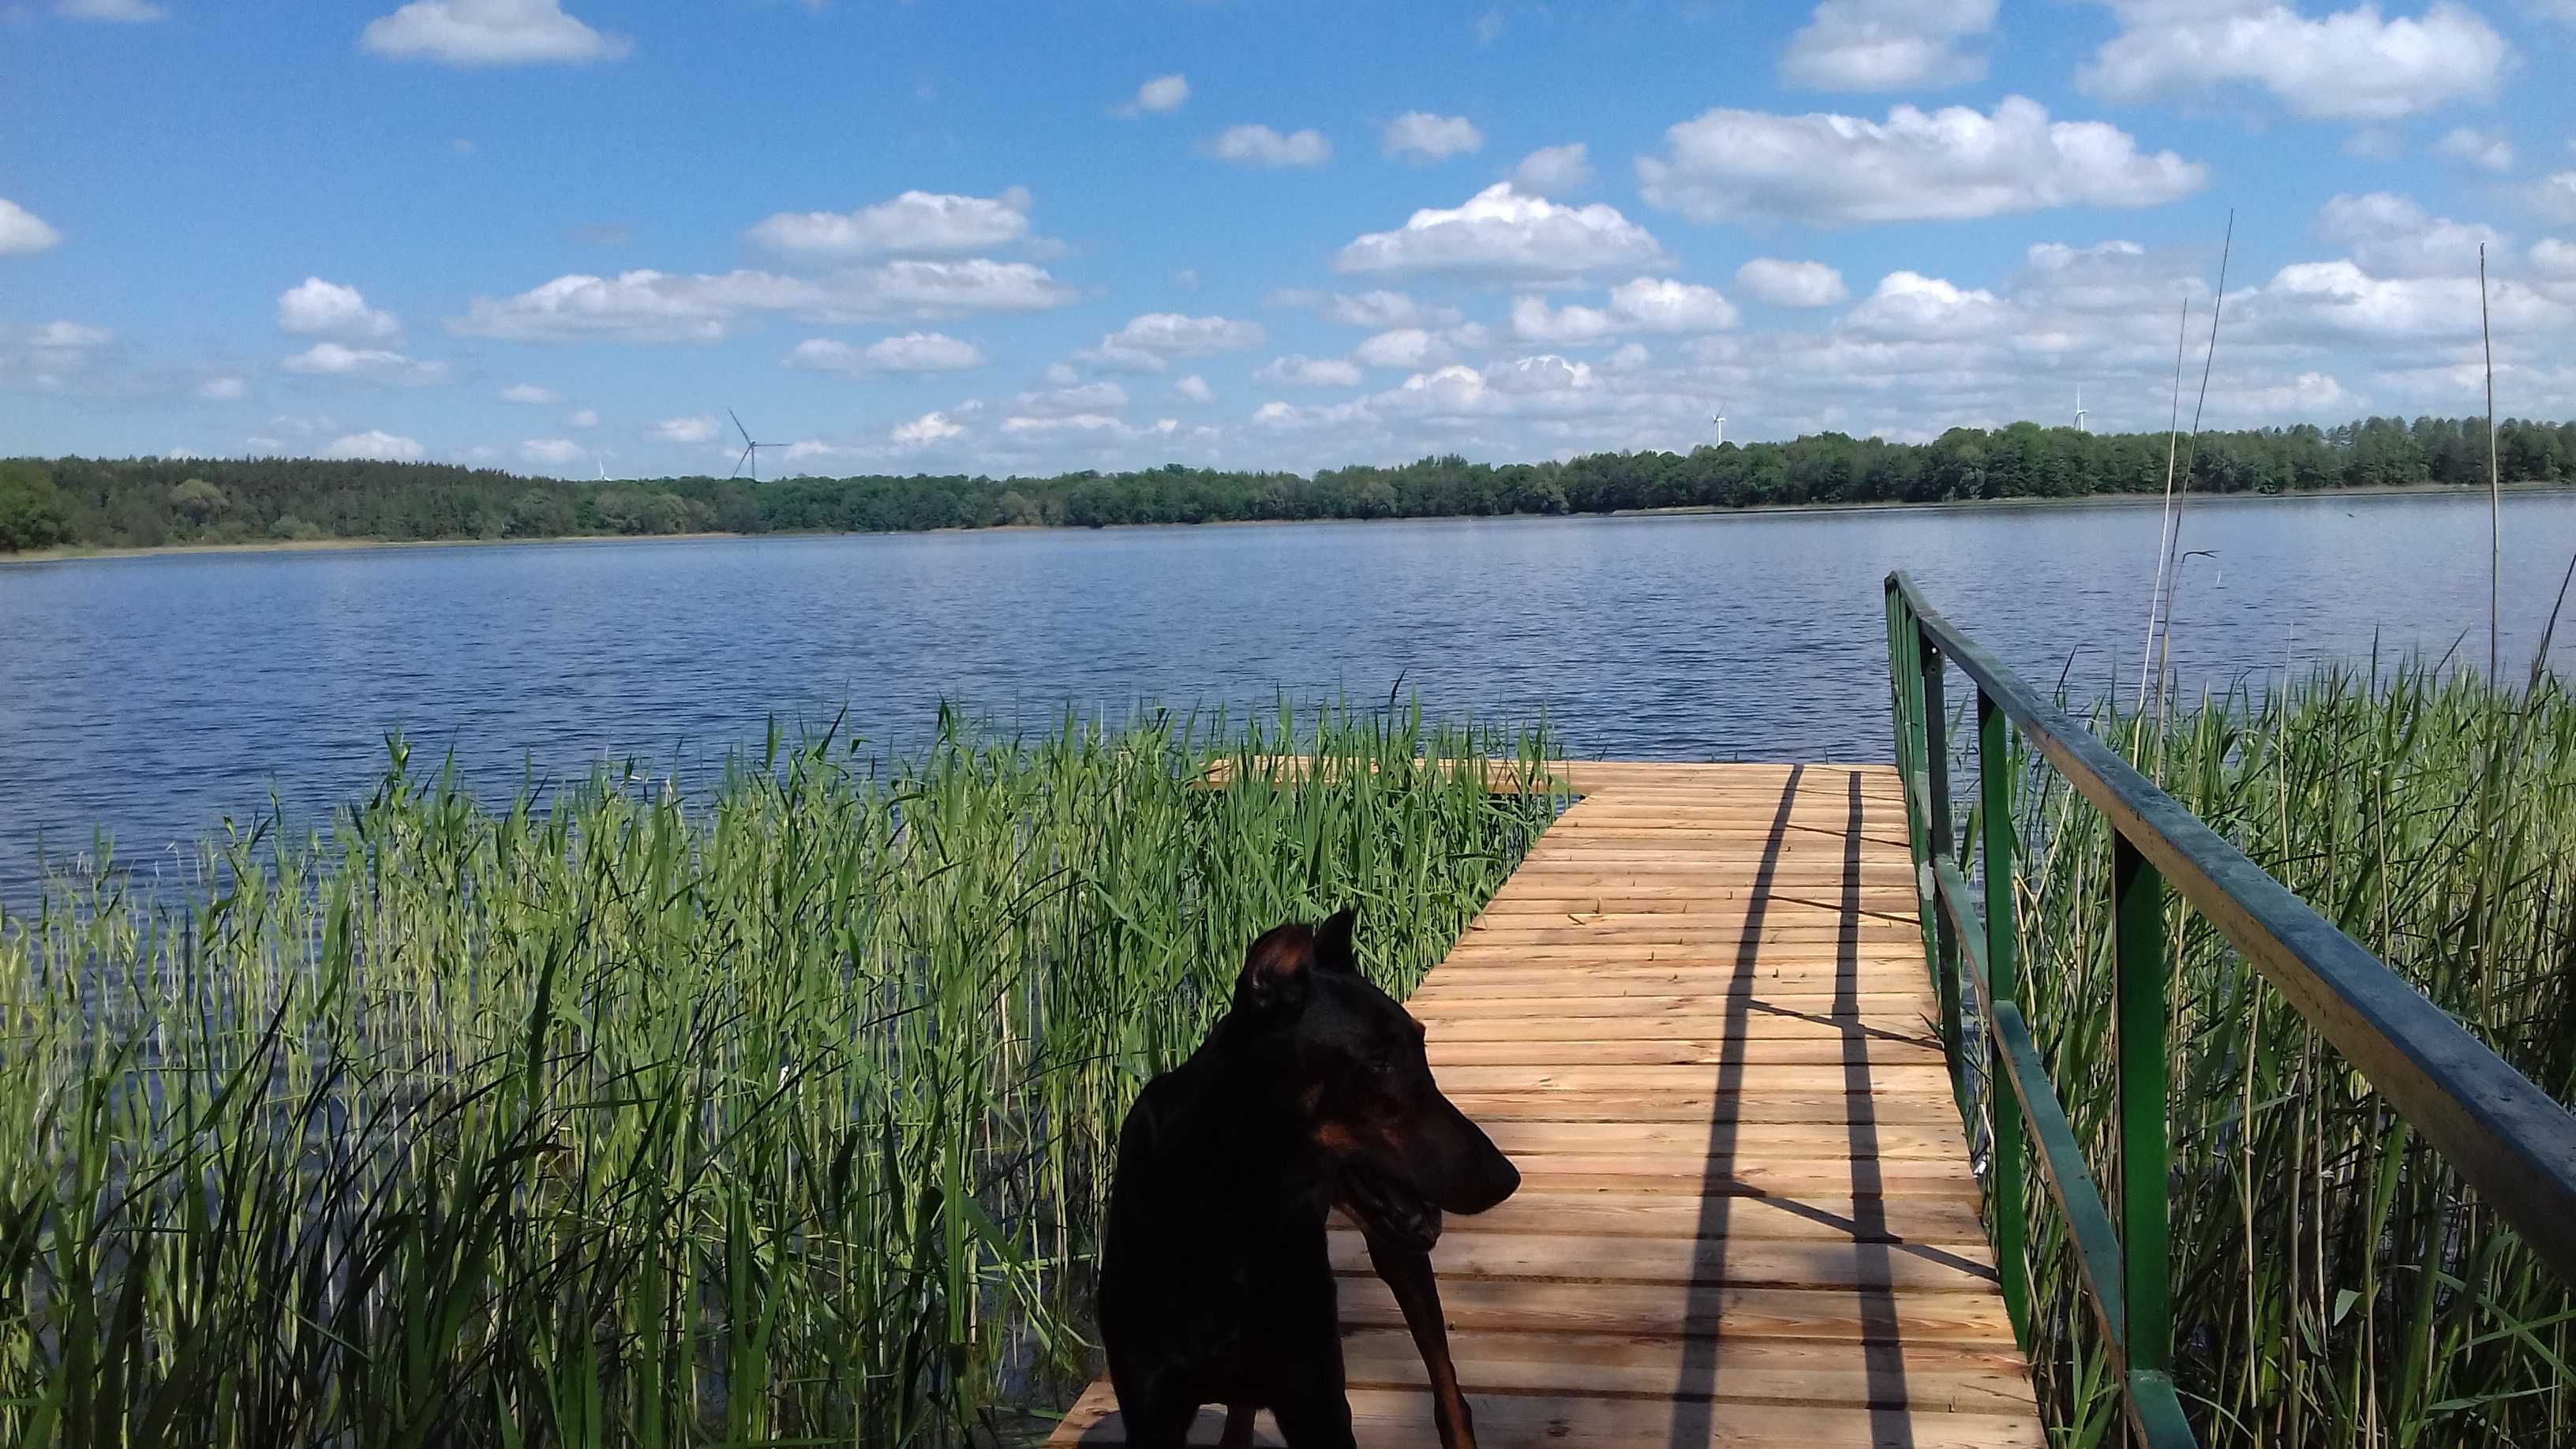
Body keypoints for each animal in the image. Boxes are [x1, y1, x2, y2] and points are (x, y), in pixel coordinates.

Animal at [1097, 907, 1515, 1433]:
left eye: (1421, 1043)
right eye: (1379, 1062)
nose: (1508, 1177)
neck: (1231, 1204)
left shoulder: (1316, 1398)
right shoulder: (1152, 1406)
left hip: (1398, 1255)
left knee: (1448, 1394)